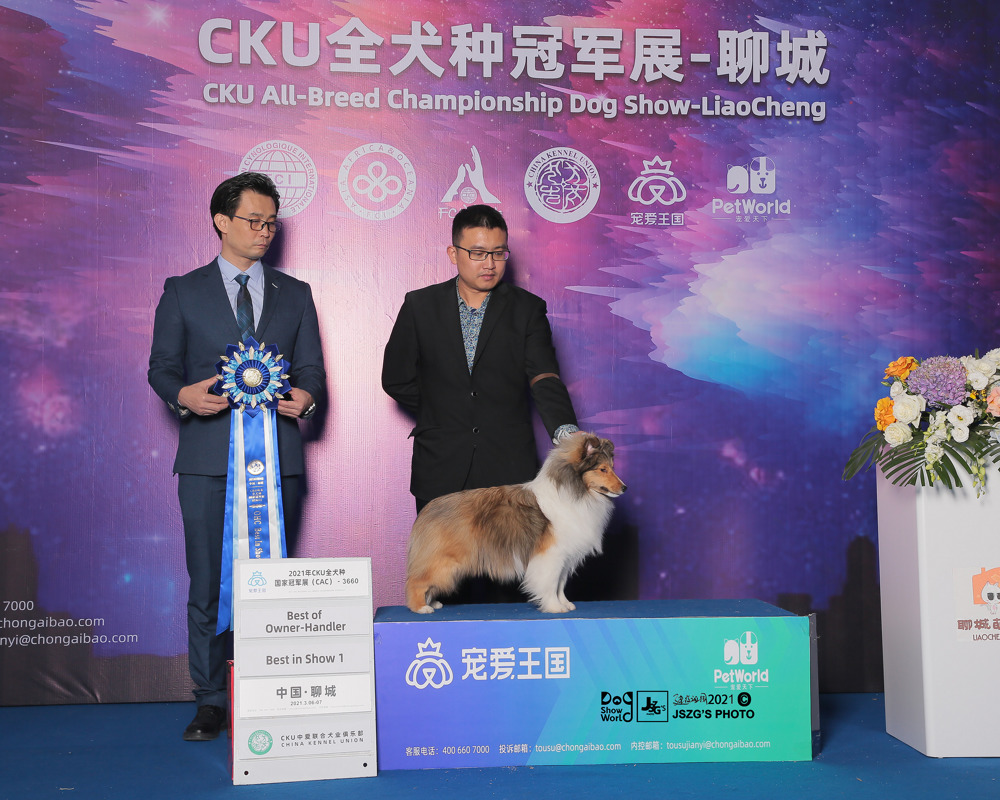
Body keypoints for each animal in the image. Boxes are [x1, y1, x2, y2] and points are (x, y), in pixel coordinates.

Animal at [405, 434, 626, 614]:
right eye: (603, 469)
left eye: (612, 468)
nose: (624, 488)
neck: (574, 492)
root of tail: (428, 509)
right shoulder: (551, 554)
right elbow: (550, 582)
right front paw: (554, 607)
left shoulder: (565, 556)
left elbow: (560, 584)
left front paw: (565, 604)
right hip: (444, 562)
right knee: (415, 581)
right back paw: (421, 608)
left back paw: (432, 602)